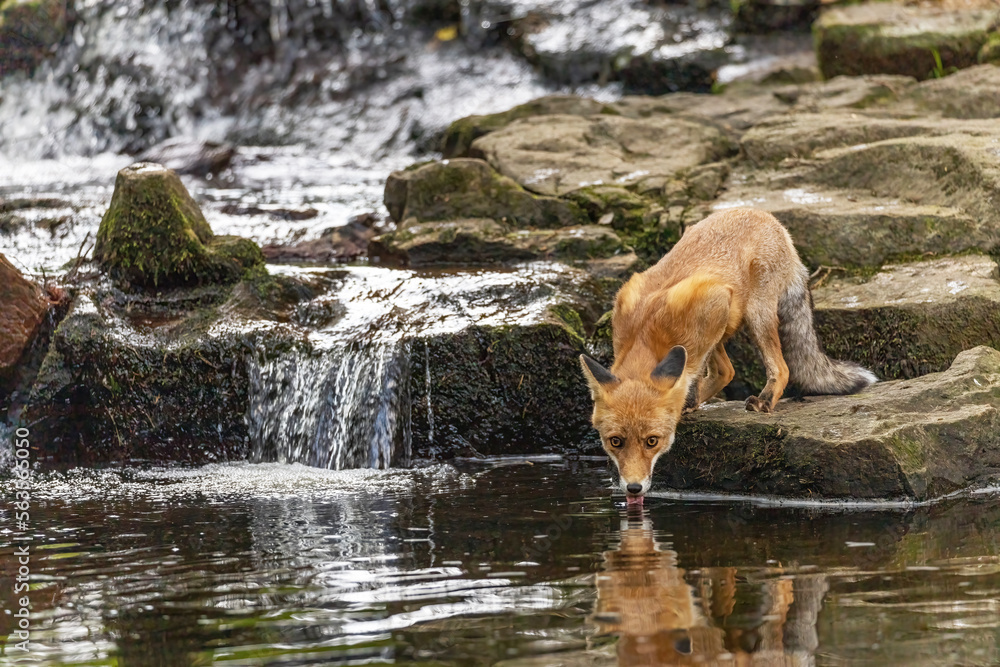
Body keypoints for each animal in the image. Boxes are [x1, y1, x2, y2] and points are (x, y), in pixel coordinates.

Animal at [580, 208, 877, 504]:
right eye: (615, 441)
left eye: (652, 441)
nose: (633, 488)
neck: (645, 336)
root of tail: (765, 216)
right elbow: (710, 374)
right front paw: (689, 401)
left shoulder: (715, 303)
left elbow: (699, 373)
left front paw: (688, 399)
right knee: (727, 370)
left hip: (756, 315)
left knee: (780, 368)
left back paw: (765, 400)